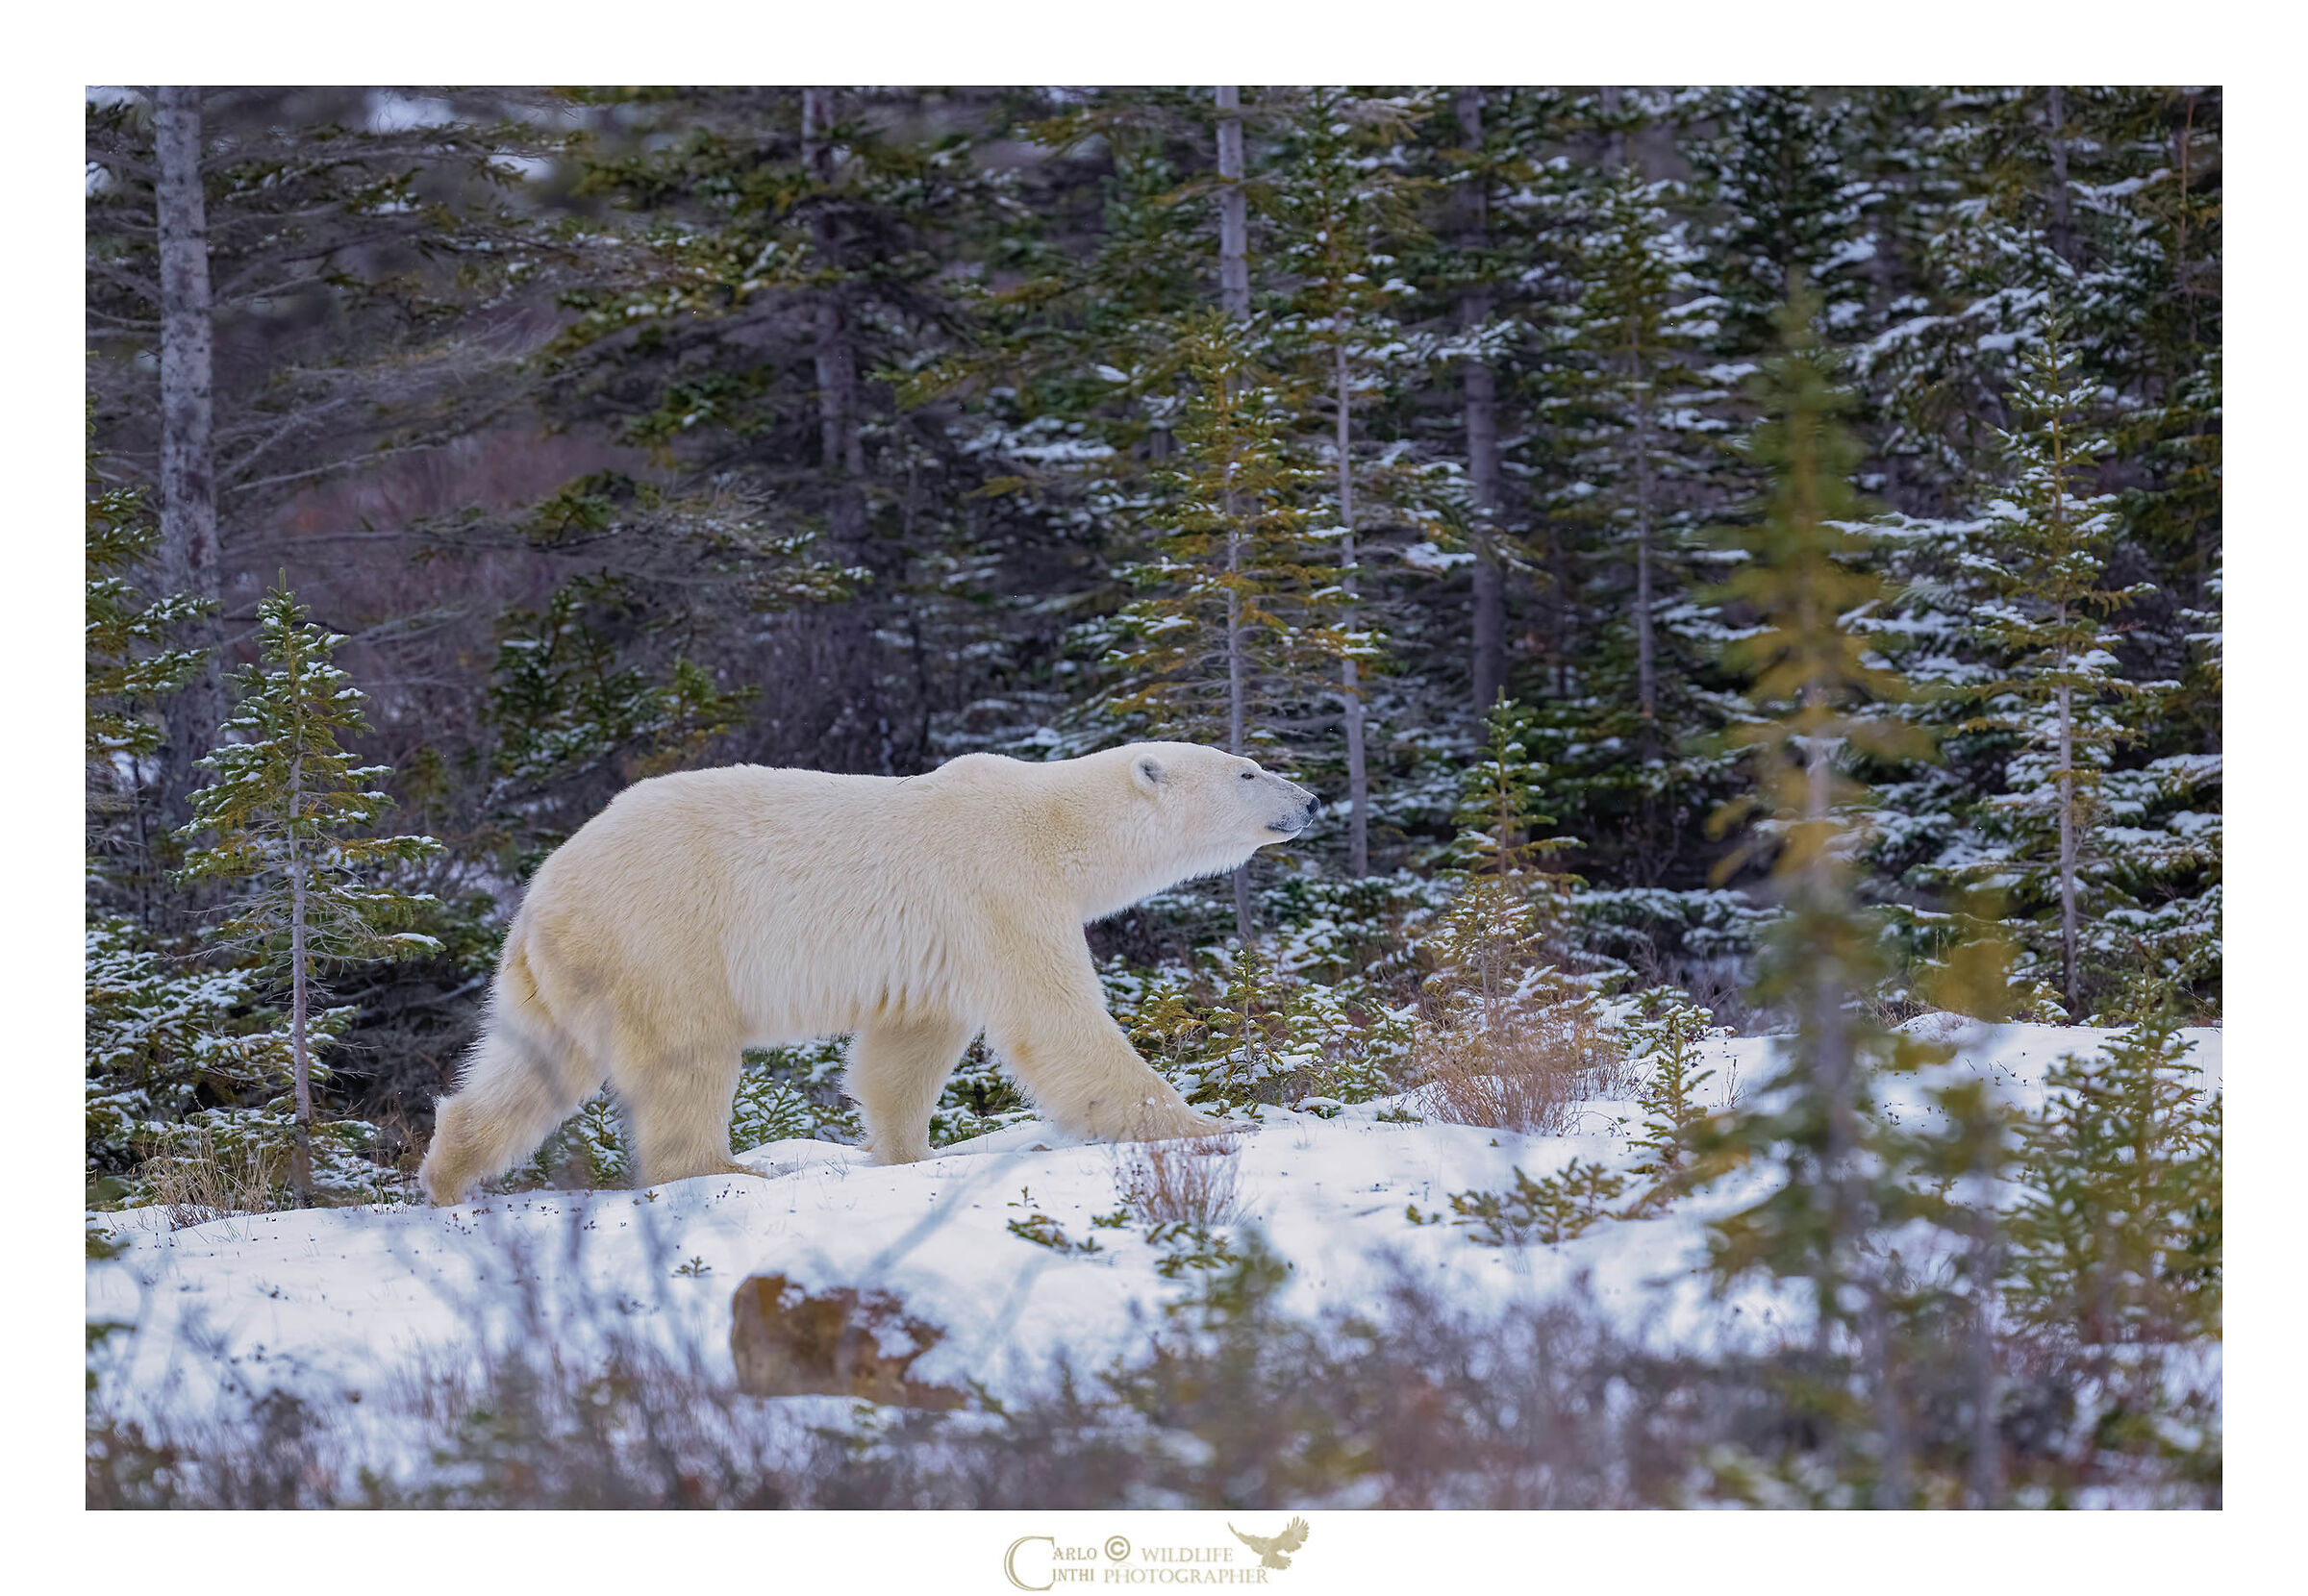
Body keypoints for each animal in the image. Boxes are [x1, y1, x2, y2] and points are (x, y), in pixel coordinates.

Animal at [418, 742, 1320, 1204]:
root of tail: (543, 890)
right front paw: (1211, 1126)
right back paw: (726, 1169)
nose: (1311, 799)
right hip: (663, 935)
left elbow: (907, 1047)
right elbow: (1055, 1020)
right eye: (1247, 770)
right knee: (684, 1057)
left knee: (529, 1069)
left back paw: (448, 1172)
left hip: (566, 971)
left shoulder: (941, 943)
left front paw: (904, 1154)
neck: (1055, 822)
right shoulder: (995, 885)